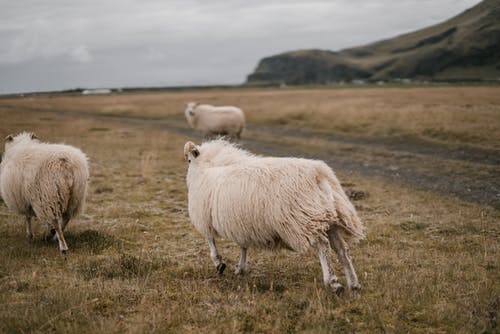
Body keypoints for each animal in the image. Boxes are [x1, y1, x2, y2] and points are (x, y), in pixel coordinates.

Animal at [184, 140, 364, 296]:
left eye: (188, 160)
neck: (209, 165)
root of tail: (319, 176)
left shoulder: (205, 217)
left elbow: (210, 240)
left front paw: (219, 263)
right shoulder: (242, 222)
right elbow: (243, 246)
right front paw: (240, 268)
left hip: (302, 219)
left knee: (323, 245)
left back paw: (333, 282)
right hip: (328, 217)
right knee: (342, 249)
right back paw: (353, 285)